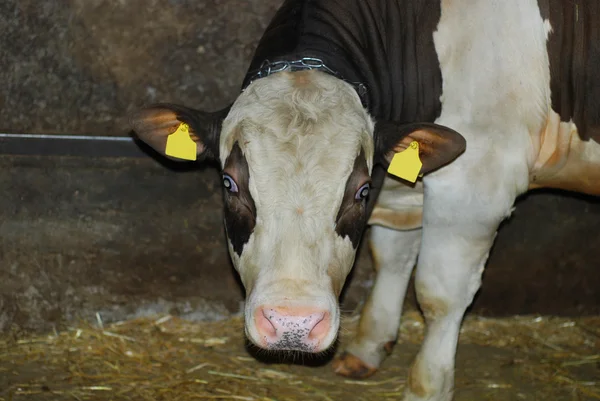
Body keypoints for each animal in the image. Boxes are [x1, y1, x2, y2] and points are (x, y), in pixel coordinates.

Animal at [130, 0, 600, 400]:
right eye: (229, 183)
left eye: (360, 190)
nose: (293, 323)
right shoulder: (405, 185)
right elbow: (392, 257)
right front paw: (368, 348)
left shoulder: (478, 179)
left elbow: (439, 294)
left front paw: (427, 388)